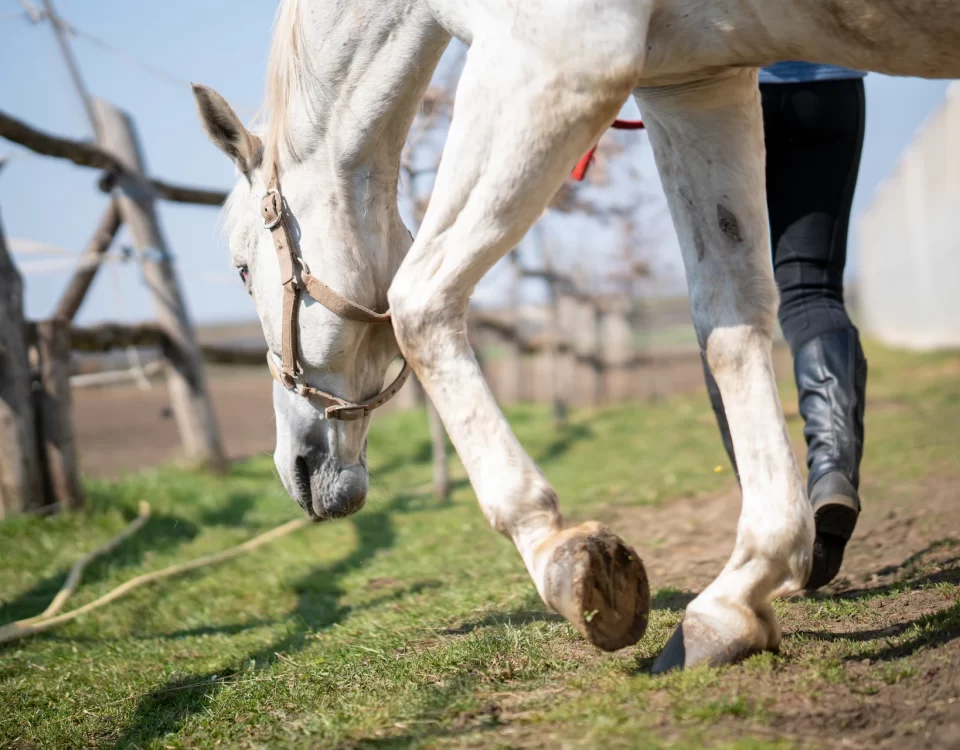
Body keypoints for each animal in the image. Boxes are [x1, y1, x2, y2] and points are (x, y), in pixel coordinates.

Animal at [191, 0, 960, 672]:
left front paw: (560, 556)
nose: (294, 467)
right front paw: (736, 602)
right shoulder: (696, 85)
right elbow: (729, 320)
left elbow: (419, 299)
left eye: (240, 267)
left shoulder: (553, 64)